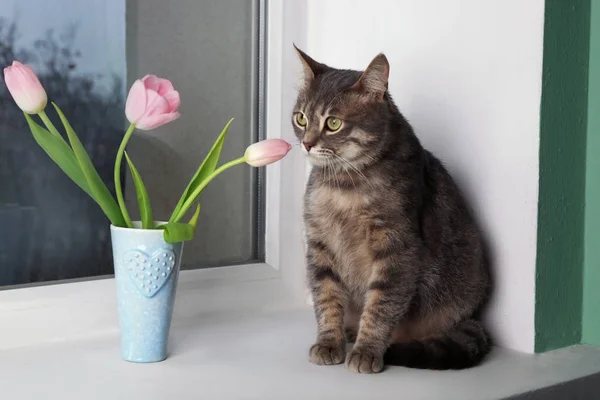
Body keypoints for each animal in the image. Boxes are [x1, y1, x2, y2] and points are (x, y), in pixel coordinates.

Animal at [292, 47, 492, 376]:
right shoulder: (319, 244)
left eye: (333, 123)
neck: (344, 187)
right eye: (301, 118)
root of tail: (472, 319)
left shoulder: (397, 247)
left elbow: (381, 305)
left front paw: (366, 350)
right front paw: (329, 342)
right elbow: (326, 297)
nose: (307, 144)